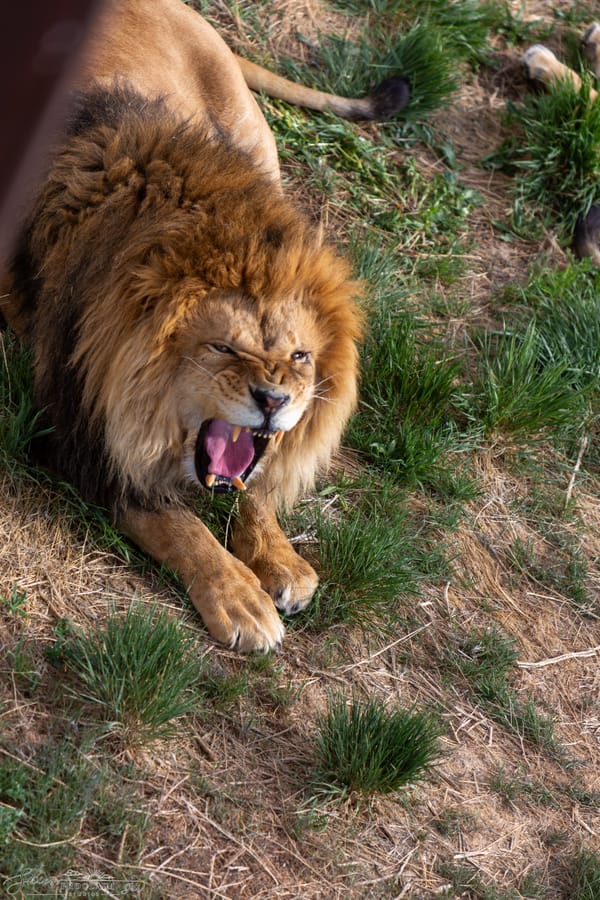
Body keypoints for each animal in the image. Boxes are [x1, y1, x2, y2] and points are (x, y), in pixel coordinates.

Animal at [2, 0, 409, 651]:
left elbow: (254, 485)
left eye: (300, 357)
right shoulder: (67, 423)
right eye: (222, 347)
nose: (272, 401)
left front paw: (280, 559)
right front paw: (239, 596)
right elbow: (174, 521)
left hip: (254, 140)